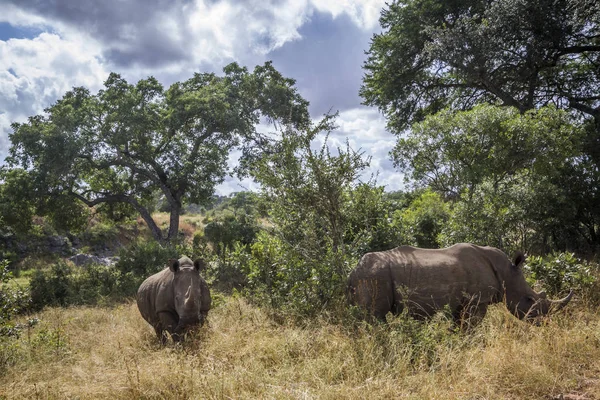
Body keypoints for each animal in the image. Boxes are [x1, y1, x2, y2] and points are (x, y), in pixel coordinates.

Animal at [350, 244, 576, 324]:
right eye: (529, 300)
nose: (543, 323)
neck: (506, 271)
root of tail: (353, 270)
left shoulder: (463, 301)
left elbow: (459, 325)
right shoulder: (478, 300)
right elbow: (471, 326)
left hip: (366, 275)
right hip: (373, 275)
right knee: (374, 316)